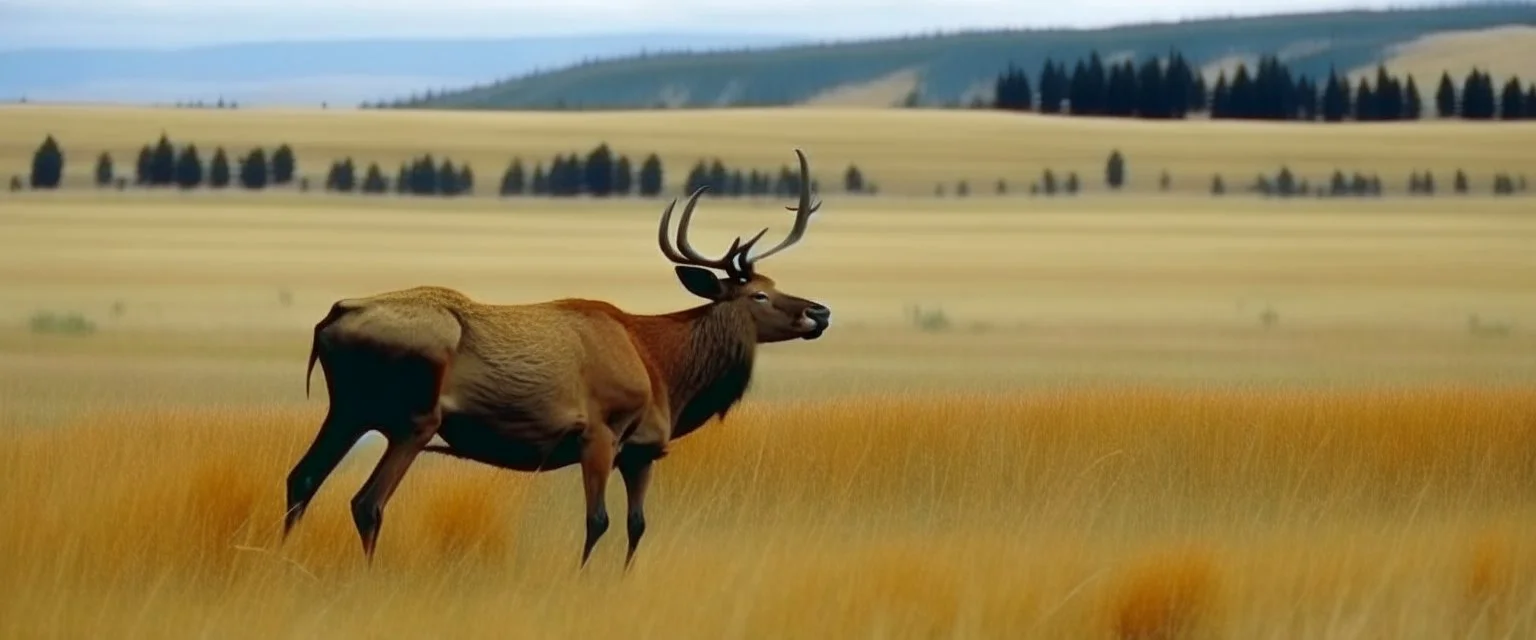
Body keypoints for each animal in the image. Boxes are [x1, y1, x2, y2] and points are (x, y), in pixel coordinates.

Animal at [276, 149, 829, 567]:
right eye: (758, 294)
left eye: (775, 284)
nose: (819, 311)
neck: (664, 372)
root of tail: (331, 319)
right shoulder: (600, 430)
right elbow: (598, 521)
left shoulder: (642, 451)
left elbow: (637, 526)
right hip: (412, 416)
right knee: (366, 502)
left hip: (348, 410)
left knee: (301, 479)